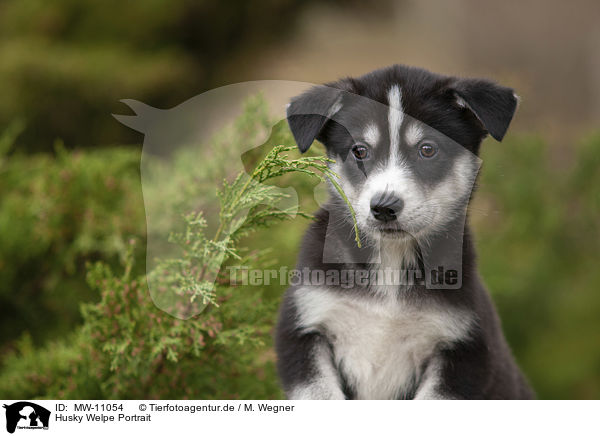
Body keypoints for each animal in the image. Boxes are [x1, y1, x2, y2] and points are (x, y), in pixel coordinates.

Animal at [276, 63, 536, 398]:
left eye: (427, 149)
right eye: (359, 150)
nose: (384, 207)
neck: (391, 264)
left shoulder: (463, 352)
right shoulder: (304, 326)